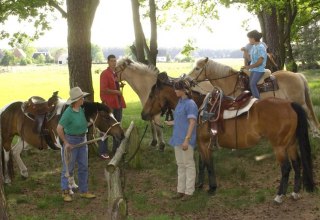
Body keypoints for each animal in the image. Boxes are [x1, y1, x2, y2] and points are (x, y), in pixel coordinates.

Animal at [142, 74, 316, 205]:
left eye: (151, 95)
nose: (143, 115)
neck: (198, 108)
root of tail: (290, 104)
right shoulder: (201, 144)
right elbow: (202, 165)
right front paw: (199, 184)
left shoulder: (204, 145)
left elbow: (209, 165)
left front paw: (212, 188)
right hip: (291, 144)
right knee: (297, 164)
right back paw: (295, 193)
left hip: (279, 146)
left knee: (286, 168)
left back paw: (279, 196)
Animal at [186, 56, 320, 137]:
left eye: (197, 68)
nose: (187, 80)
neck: (232, 82)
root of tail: (298, 75)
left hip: (300, 101)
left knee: (308, 113)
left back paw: (315, 133)